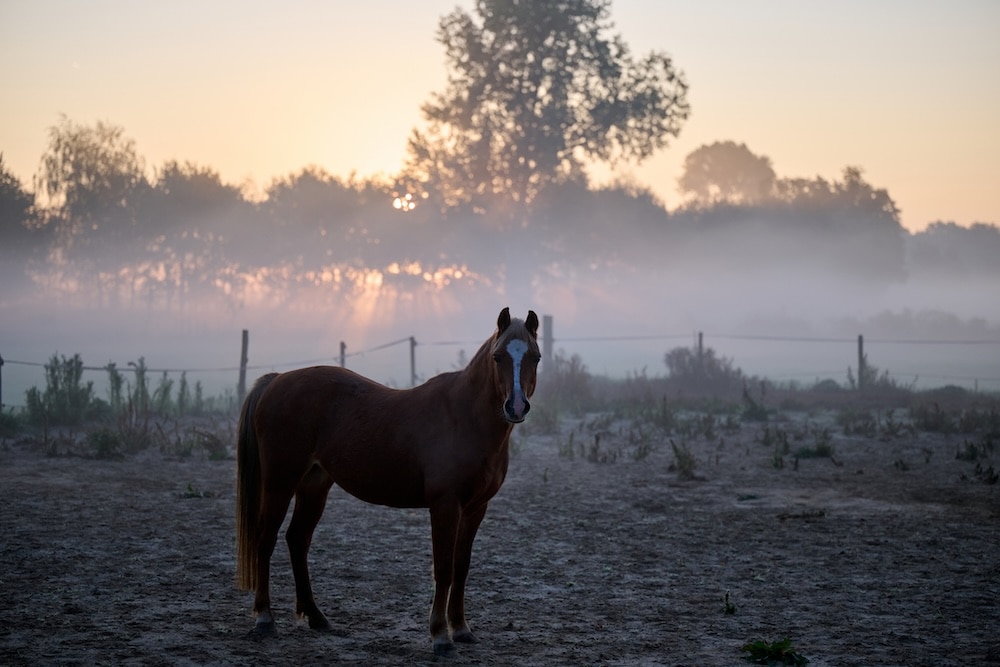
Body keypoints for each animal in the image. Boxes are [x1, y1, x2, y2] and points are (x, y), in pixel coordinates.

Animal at [235, 307, 540, 656]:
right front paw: (440, 636)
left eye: (535, 356)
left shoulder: (476, 508)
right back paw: (265, 620)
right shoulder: (445, 505)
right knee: (265, 540)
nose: (516, 406)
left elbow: (461, 567)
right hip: (279, 483)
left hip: (314, 485)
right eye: (497, 357)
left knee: (297, 540)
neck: (462, 418)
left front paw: (461, 629)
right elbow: (444, 568)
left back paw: (316, 617)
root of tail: (276, 380)